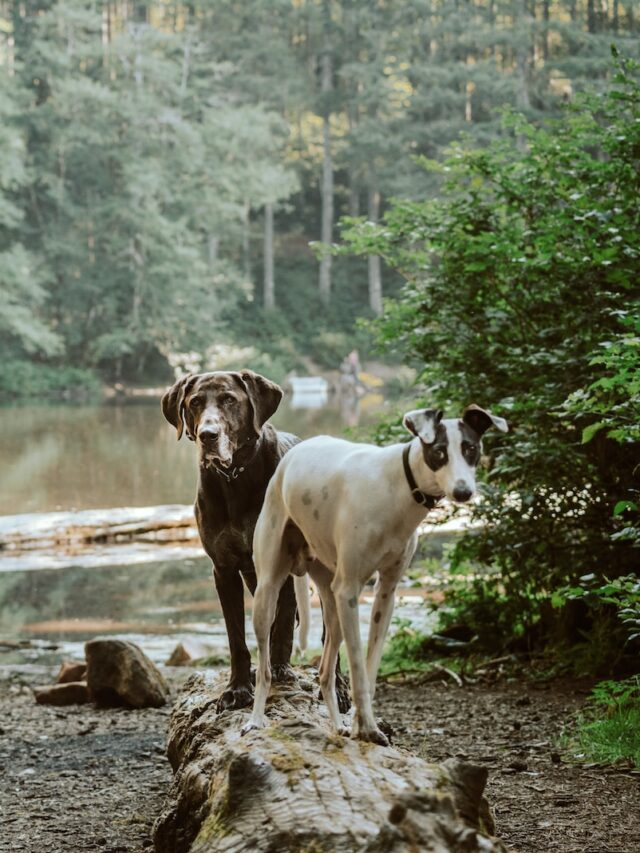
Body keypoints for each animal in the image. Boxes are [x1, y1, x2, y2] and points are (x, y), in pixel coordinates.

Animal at [161, 370, 298, 708]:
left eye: (229, 400)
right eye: (194, 402)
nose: (207, 435)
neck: (235, 476)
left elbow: (283, 619)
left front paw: (277, 670)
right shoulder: (223, 569)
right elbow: (236, 636)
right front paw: (238, 687)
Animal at [242, 402, 508, 744]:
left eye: (471, 448)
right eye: (438, 452)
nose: (463, 492)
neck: (398, 488)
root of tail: (291, 455)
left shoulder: (386, 592)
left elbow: (369, 669)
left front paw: (361, 725)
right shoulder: (350, 591)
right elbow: (357, 666)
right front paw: (367, 727)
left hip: (332, 605)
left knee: (325, 672)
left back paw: (338, 725)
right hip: (269, 593)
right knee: (264, 669)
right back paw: (255, 720)